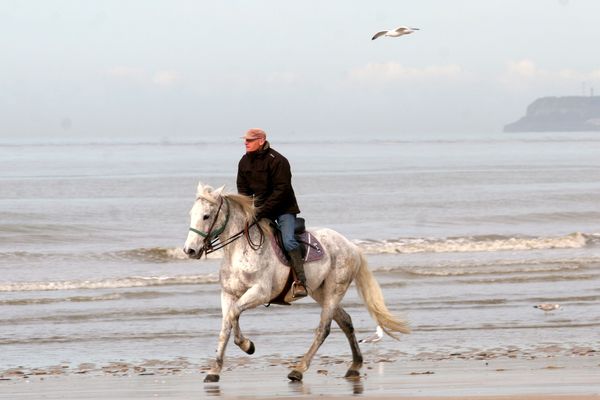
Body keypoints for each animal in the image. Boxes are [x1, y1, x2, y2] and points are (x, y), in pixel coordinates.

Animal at [183, 183, 410, 382]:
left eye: (206, 216)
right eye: (191, 214)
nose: (190, 250)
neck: (240, 251)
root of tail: (351, 246)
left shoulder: (260, 293)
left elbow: (233, 315)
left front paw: (247, 345)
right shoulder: (228, 294)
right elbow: (226, 326)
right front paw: (214, 371)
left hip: (334, 291)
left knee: (323, 329)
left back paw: (299, 369)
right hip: (320, 292)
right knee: (345, 321)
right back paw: (354, 366)